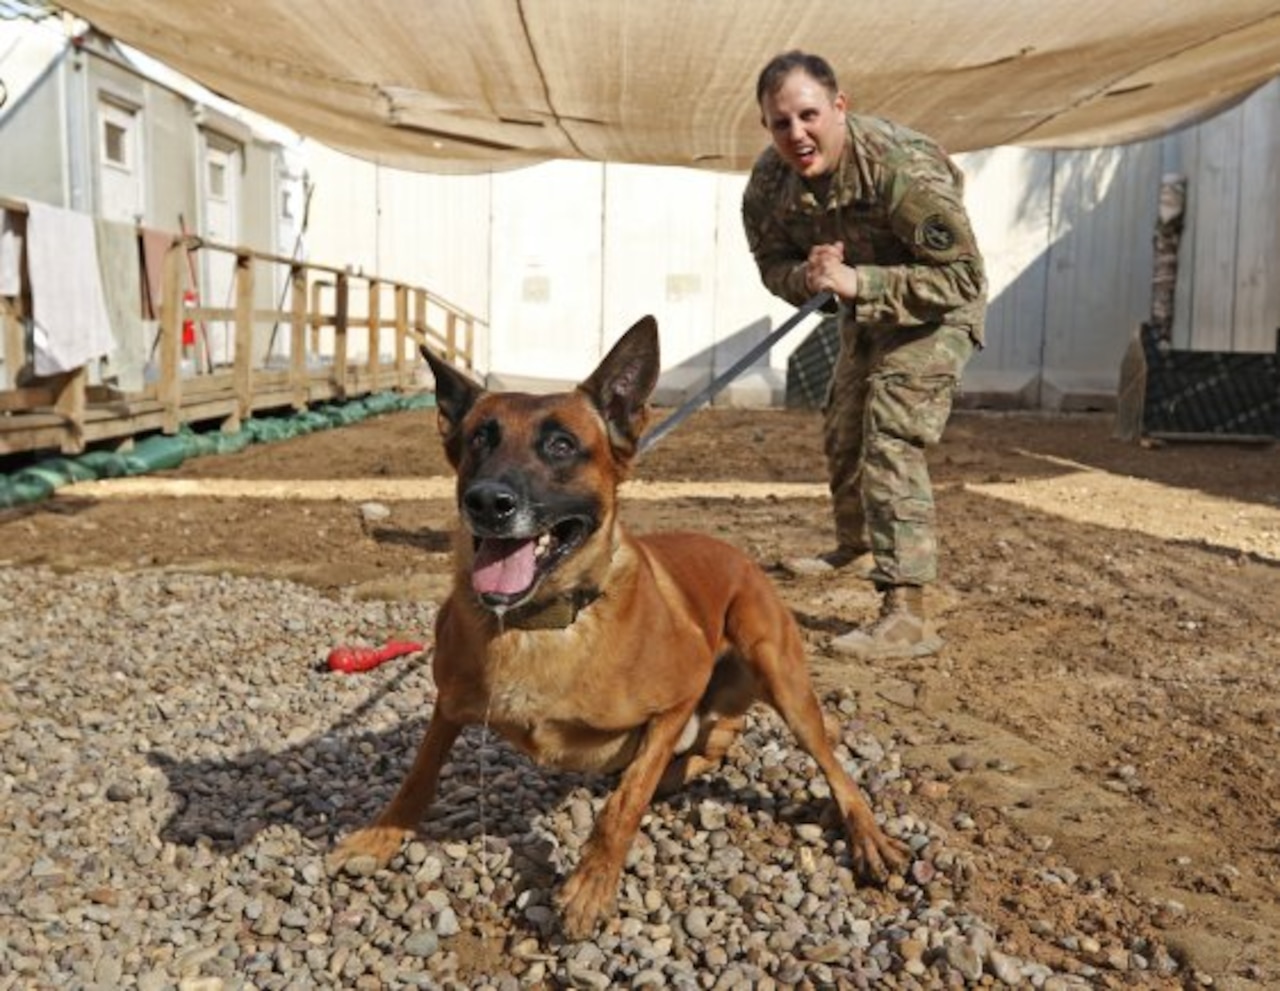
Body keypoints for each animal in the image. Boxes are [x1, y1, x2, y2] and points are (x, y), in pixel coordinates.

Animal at [330, 316, 911, 937]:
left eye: (562, 445)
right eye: (479, 439)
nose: (486, 502)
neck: (542, 623)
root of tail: (740, 553)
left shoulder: (677, 699)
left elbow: (625, 803)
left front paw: (590, 884)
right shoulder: (448, 704)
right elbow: (418, 774)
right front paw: (381, 835)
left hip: (781, 677)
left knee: (830, 768)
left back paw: (867, 835)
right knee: (713, 747)